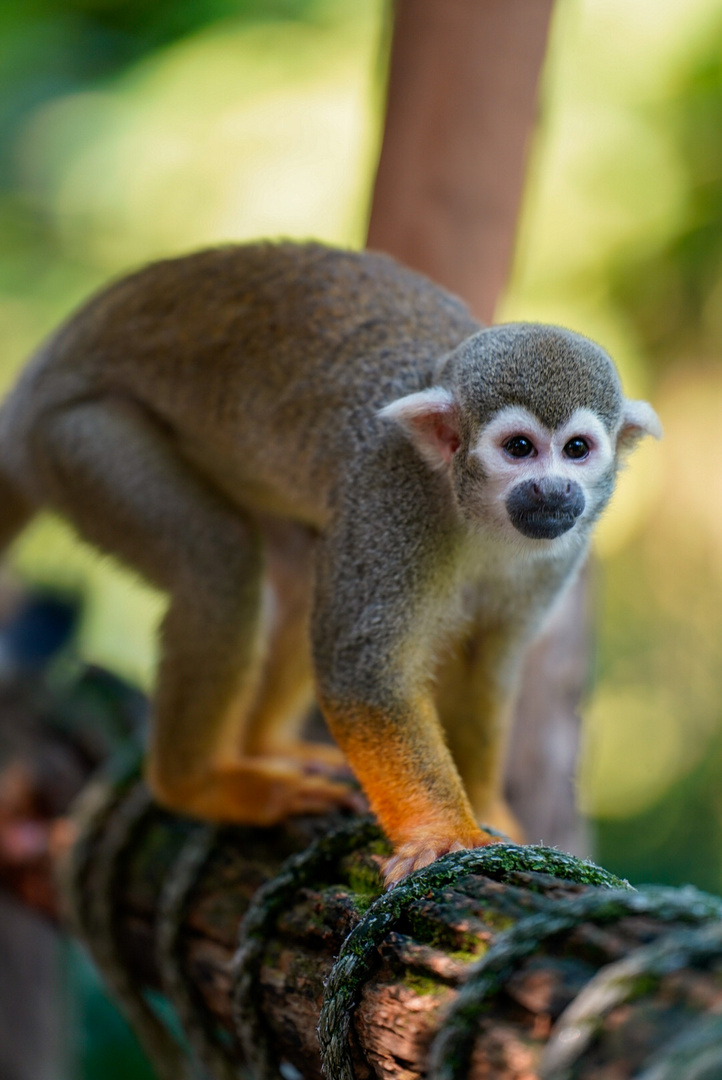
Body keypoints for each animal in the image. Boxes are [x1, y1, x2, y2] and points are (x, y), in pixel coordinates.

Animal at [0, 245, 660, 885]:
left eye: (577, 450)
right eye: (519, 448)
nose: (554, 491)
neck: (472, 511)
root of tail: (39, 375)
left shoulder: (562, 550)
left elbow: (486, 666)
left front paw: (489, 808)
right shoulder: (390, 492)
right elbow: (361, 672)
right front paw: (445, 832)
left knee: (300, 567)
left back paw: (263, 745)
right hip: (78, 439)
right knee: (218, 559)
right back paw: (197, 785)